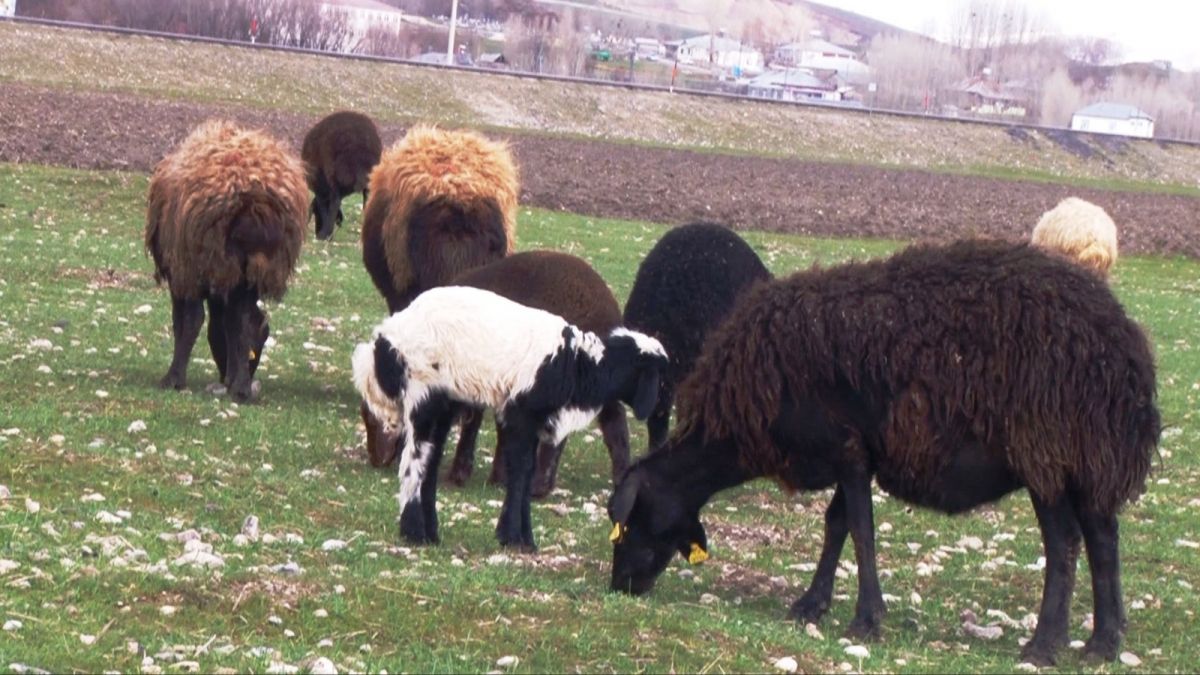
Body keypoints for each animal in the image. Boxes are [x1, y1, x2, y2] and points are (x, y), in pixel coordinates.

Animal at [144, 119, 307, 398]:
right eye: (263, 337)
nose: (251, 372)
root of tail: (255, 202)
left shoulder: (183, 275)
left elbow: (183, 322)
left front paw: (175, 377)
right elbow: (233, 326)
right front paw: (233, 379)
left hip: (198, 261)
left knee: (194, 319)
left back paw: (175, 378)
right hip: (257, 266)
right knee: (242, 319)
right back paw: (240, 389)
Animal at [304, 112, 384, 241]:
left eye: (315, 213)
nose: (316, 232)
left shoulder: (321, 190)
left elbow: (325, 207)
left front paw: (325, 234)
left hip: (335, 175)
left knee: (335, 202)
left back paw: (325, 233)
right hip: (369, 181)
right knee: (368, 202)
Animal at [360, 249, 633, 497]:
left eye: (374, 414)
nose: (376, 460)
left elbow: (474, 424)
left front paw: (462, 474)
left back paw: (539, 487)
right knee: (616, 427)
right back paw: (620, 478)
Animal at [609, 237, 1161, 662]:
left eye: (629, 522)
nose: (620, 587)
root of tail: (1126, 350)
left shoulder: (847, 449)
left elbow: (860, 530)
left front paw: (866, 619)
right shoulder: (855, 451)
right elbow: (836, 525)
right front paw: (811, 605)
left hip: (1046, 451)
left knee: (1064, 542)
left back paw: (1045, 645)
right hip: (1090, 458)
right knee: (1103, 539)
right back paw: (1103, 643)